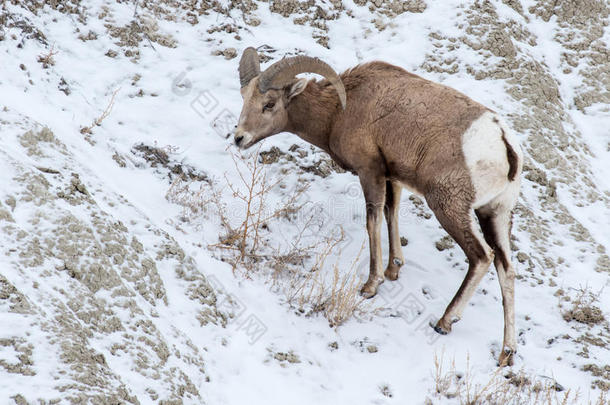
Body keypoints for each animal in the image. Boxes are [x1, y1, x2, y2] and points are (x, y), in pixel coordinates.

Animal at [233, 46, 524, 362]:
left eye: (269, 104)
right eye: (244, 97)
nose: (239, 138)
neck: (340, 111)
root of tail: (503, 144)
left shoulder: (369, 172)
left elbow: (372, 222)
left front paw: (372, 285)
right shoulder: (391, 177)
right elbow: (390, 213)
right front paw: (393, 270)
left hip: (449, 208)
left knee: (482, 257)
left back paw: (445, 322)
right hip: (494, 214)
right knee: (505, 267)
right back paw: (507, 352)